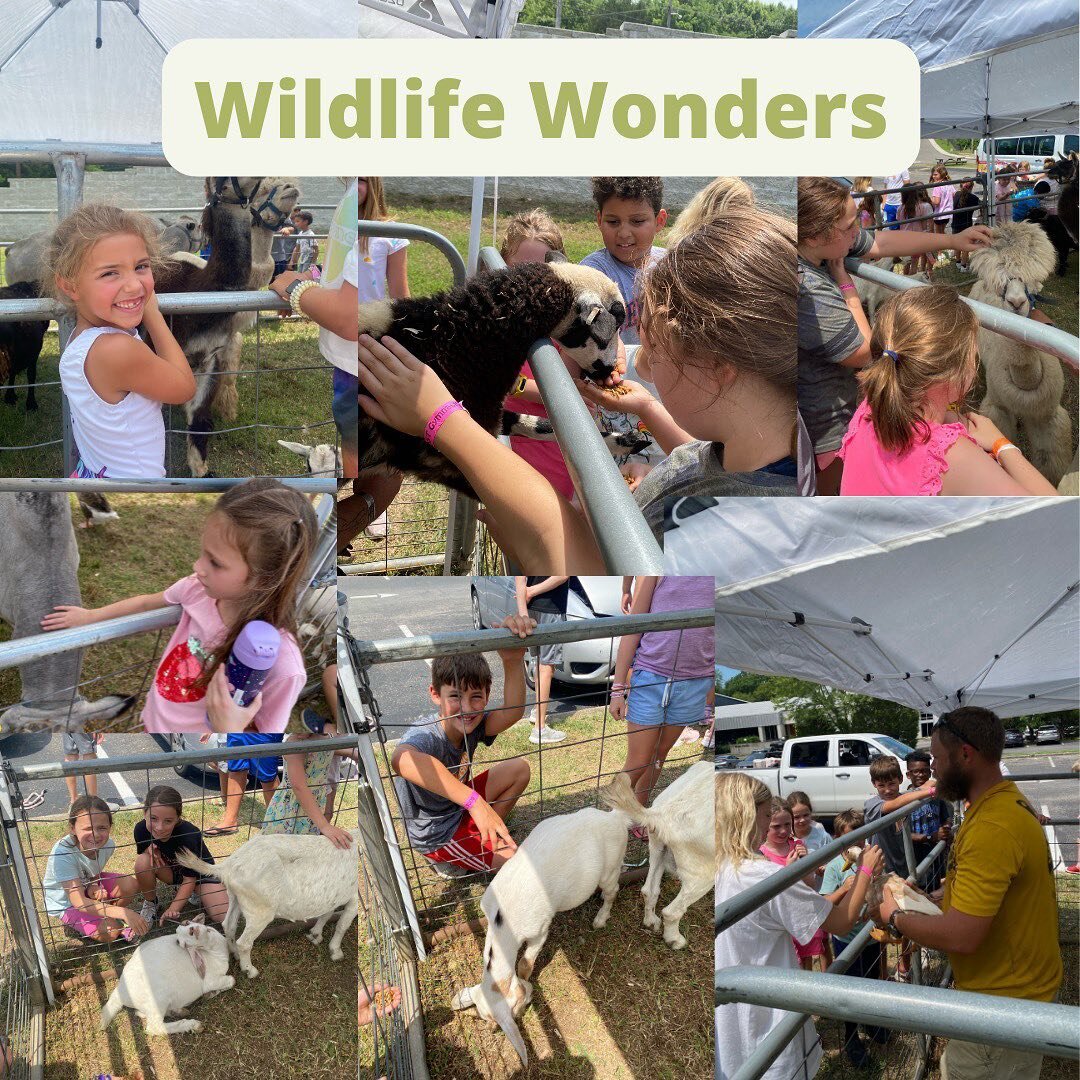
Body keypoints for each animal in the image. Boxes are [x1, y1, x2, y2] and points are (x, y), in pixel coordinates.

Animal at [449, 803, 630, 1062]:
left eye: (516, 1004)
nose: (530, 993)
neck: (502, 920)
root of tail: (616, 818)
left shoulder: (540, 929)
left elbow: (525, 961)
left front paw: (527, 975)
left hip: (610, 868)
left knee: (613, 889)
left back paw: (600, 918)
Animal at [604, 756, 712, 950]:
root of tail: (662, 814)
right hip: (702, 871)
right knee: (672, 911)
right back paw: (675, 940)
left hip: (658, 848)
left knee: (649, 890)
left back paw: (651, 922)